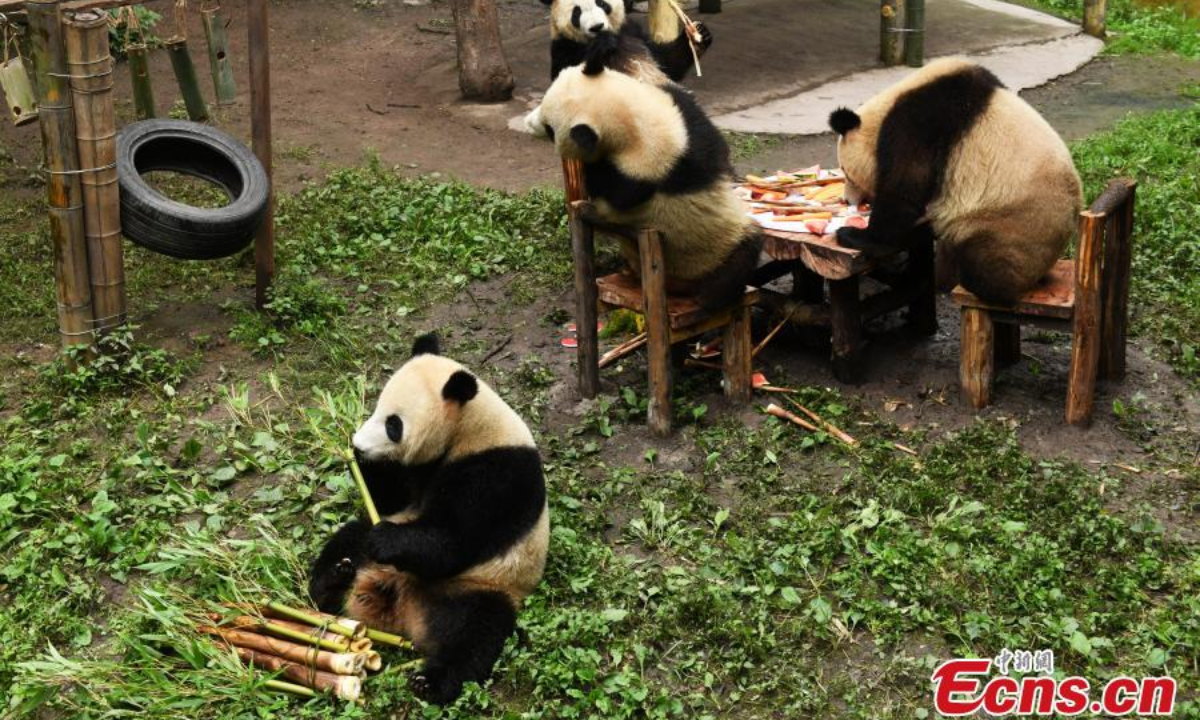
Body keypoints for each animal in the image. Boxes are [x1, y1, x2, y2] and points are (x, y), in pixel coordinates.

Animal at [308, 333, 549, 704]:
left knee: (476, 631)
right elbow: (386, 497)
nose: (358, 444)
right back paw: (335, 577)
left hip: (478, 586)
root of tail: (402, 613)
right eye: (376, 409)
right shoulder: (414, 472)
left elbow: (453, 540)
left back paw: (430, 680)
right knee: (350, 538)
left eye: (393, 424)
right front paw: (357, 460)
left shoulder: (497, 471)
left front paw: (386, 538)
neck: (470, 428)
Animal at [533, 55, 762, 310]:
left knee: (744, 254)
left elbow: (614, 191)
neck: (634, 126)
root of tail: (678, 285)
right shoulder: (684, 126)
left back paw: (711, 298)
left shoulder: (653, 157)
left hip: (723, 244)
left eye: (550, 129)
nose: (534, 123)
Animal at [542, 0, 712, 83]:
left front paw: (698, 35)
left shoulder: (632, 31)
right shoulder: (564, 45)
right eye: (577, 12)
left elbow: (667, 63)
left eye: (601, 3)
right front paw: (603, 45)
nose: (597, 27)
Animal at [828, 58, 1082, 305]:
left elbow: (902, 193)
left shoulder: (919, 126)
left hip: (1008, 224)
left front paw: (854, 235)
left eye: (846, 172)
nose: (847, 200)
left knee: (988, 263)